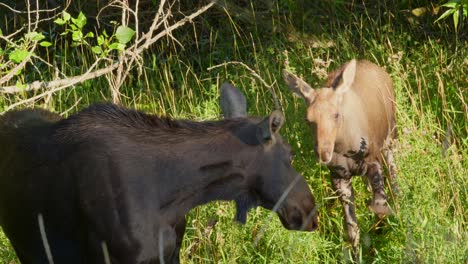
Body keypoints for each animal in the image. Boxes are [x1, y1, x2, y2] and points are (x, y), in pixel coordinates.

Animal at [284, 59, 396, 248]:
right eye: (308, 119)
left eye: (336, 115)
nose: (323, 153)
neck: (345, 147)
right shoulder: (339, 178)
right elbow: (352, 230)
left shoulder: (374, 160)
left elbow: (380, 207)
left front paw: (380, 235)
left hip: (391, 138)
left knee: (394, 172)